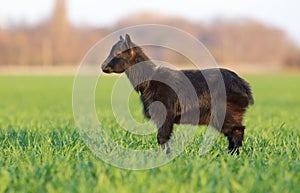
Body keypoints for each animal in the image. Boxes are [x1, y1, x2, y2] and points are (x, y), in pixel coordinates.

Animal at [101, 34, 253, 155]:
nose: (103, 67)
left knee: (238, 131)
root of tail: (243, 85)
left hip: (226, 113)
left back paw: (234, 155)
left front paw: (166, 156)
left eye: (118, 53)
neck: (149, 81)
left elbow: (162, 138)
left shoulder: (165, 113)